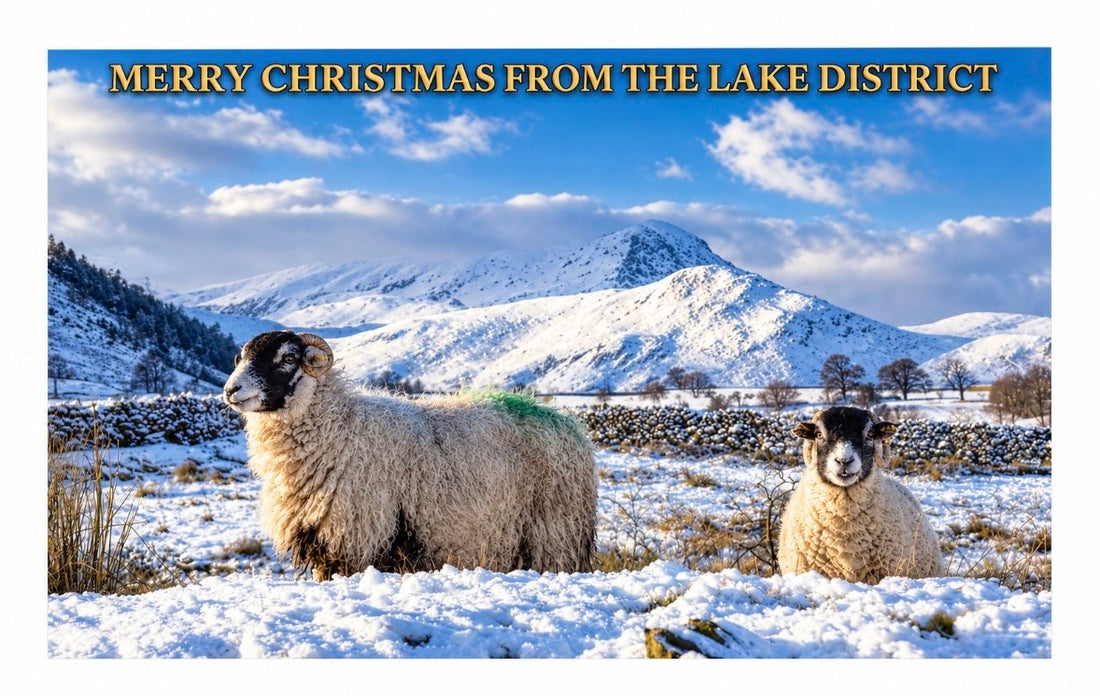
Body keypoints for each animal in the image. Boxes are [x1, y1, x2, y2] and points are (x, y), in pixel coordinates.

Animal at [222, 330, 598, 580]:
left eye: (287, 358)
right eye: (241, 358)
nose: (230, 390)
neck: (340, 428)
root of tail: (568, 424)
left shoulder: (353, 537)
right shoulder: (321, 540)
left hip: (555, 531)